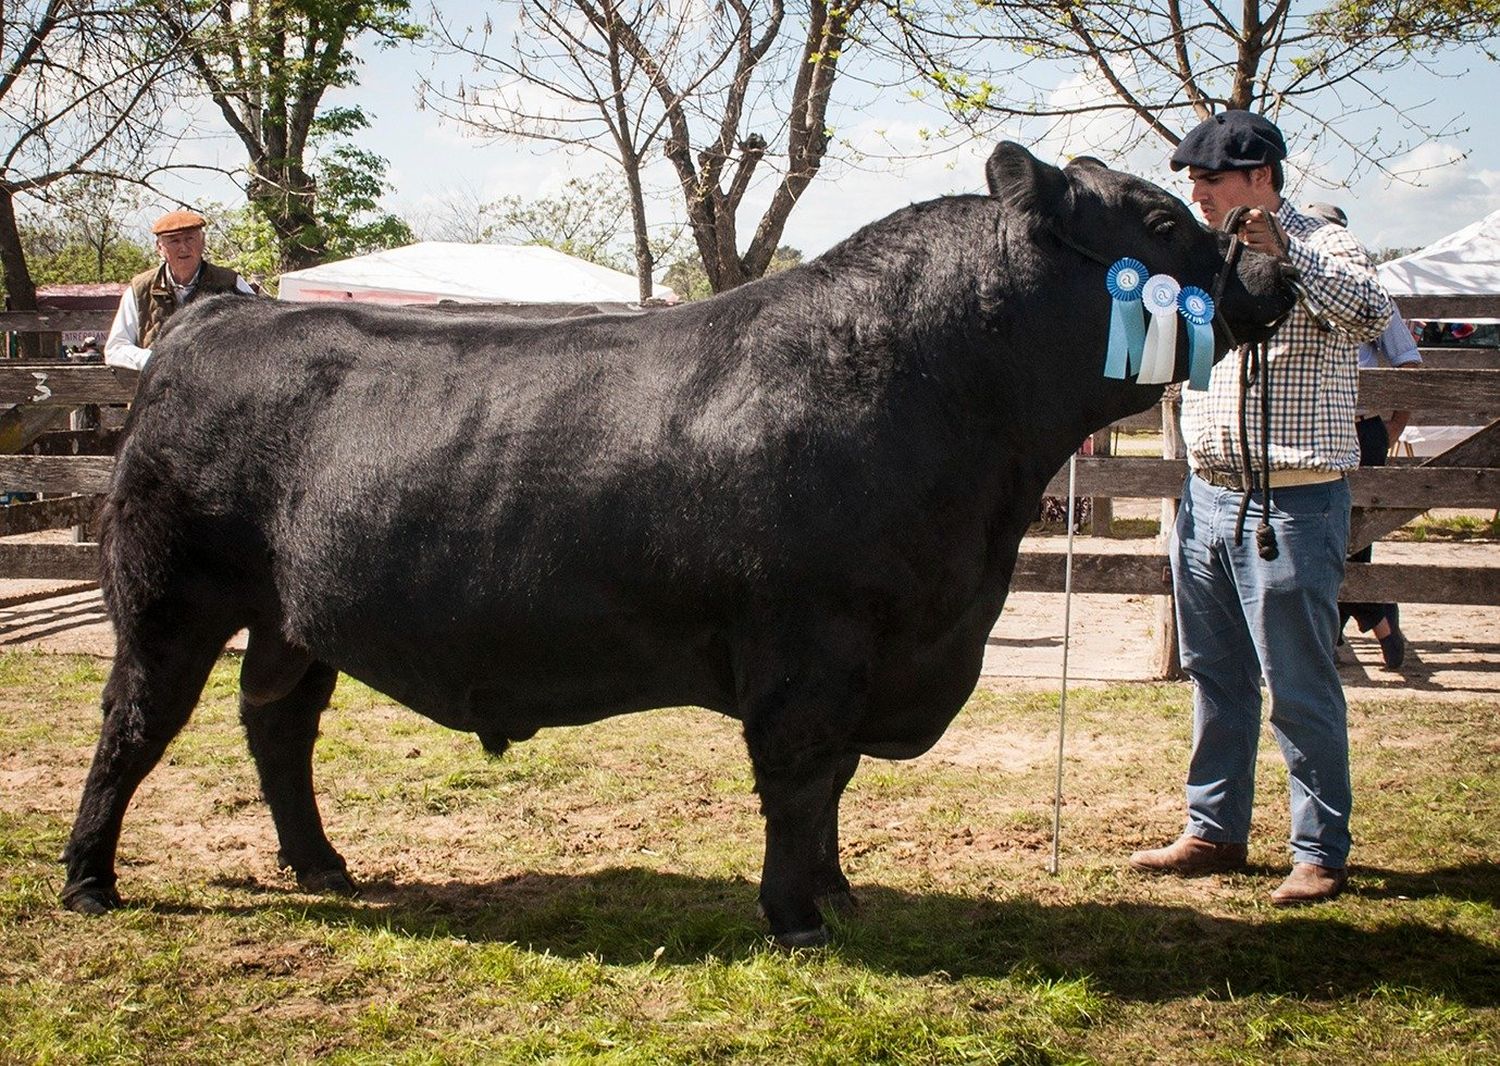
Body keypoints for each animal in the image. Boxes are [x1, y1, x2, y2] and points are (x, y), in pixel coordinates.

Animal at [64, 139, 1296, 941]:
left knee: (277, 726)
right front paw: (796, 918)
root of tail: (216, 314)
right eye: (1158, 224)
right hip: (170, 599)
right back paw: (88, 882)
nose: (1272, 272)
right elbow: (801, 775)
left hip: (293, 617)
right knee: (134, 723)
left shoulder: (869, 649)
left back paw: (322, 867)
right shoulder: (811, 644)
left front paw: (837, 893)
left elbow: (835, 782)